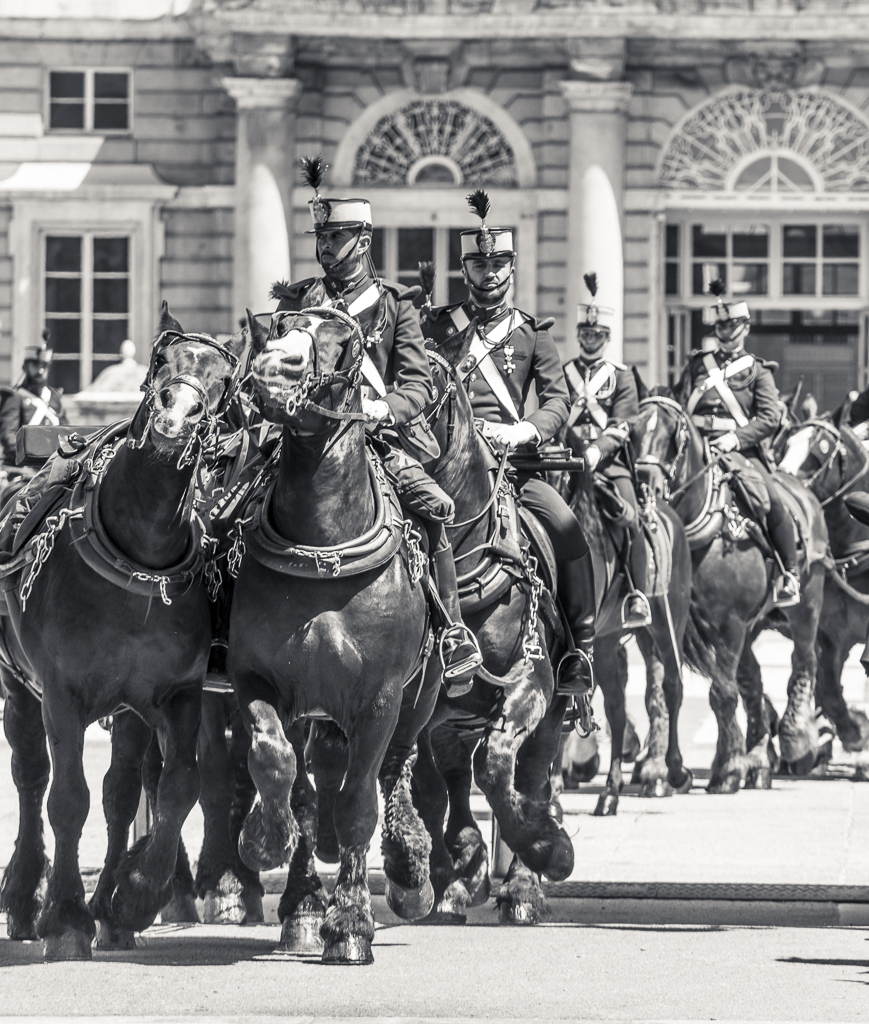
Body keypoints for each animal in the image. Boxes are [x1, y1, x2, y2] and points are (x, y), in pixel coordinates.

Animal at [0, 303, 242, 958]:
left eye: (225, 380)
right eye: (161, 360)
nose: (174, 417)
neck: (139, 554)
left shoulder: (174, 695)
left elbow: (173, 787)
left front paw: (131, 896)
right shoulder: (61, 695)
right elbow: (67, 799)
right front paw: (66, 916)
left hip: (127, 712)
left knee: (122, 790)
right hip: (19, 689)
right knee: (31, 780)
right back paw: (26, 895)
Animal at [230, 307, 440, 962]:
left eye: (344, 341)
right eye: (278, 326)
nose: (273, 369)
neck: (323, 546)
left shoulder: (380, 698)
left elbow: (357, 805)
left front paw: (350, 925)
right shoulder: (259, 680)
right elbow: (275, 764)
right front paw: (265, 840)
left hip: (420, 695)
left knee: (393, 770)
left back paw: (407, 871)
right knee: (312, 781)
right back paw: (301, 902)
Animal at [409, 339, 573, 925]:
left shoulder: (532, 683)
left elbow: (500, 769)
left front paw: (547, 849)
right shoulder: (425, 708)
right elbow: (433, 788)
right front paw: (454, 868)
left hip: (555, 711)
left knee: (531, 776)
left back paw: (524, 879)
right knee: (459, 777)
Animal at [638, 387, 827, 786]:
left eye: (674, 436)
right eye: (630, 429)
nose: (645, 488)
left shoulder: (729, 624)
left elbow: (721, 694)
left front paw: (726, 768)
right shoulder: (654, 628)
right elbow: (657, 693)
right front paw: (656, 767)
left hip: (806, 606)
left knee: (804, 660)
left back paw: (796, 741)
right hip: (753, 626)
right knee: (752, 679)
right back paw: (757, 757)